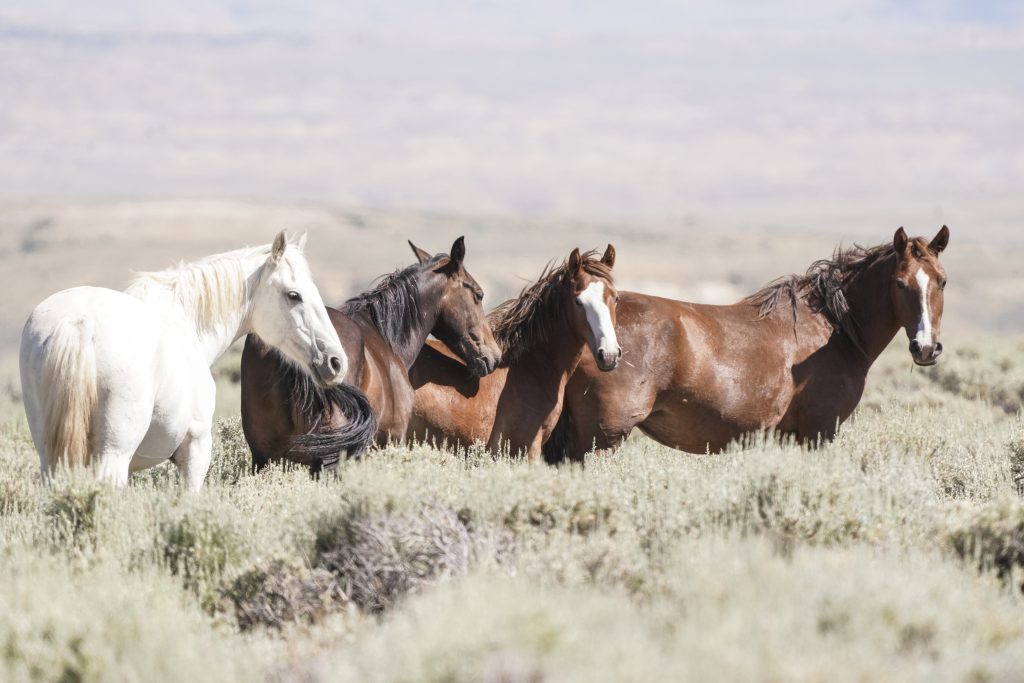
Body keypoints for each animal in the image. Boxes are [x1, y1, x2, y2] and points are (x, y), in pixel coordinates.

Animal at [19, 231, 359, 490]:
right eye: (293, 295)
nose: (335, 362)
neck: (185, 323)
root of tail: (80, 321)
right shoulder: (195, 450)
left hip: (51, 456)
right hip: (113, 455)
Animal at [544, 226, 950, 462]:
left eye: (942, 280)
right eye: (900, 283)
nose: (925, 348)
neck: (832, 330)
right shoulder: (818, 433)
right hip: (599, 440)